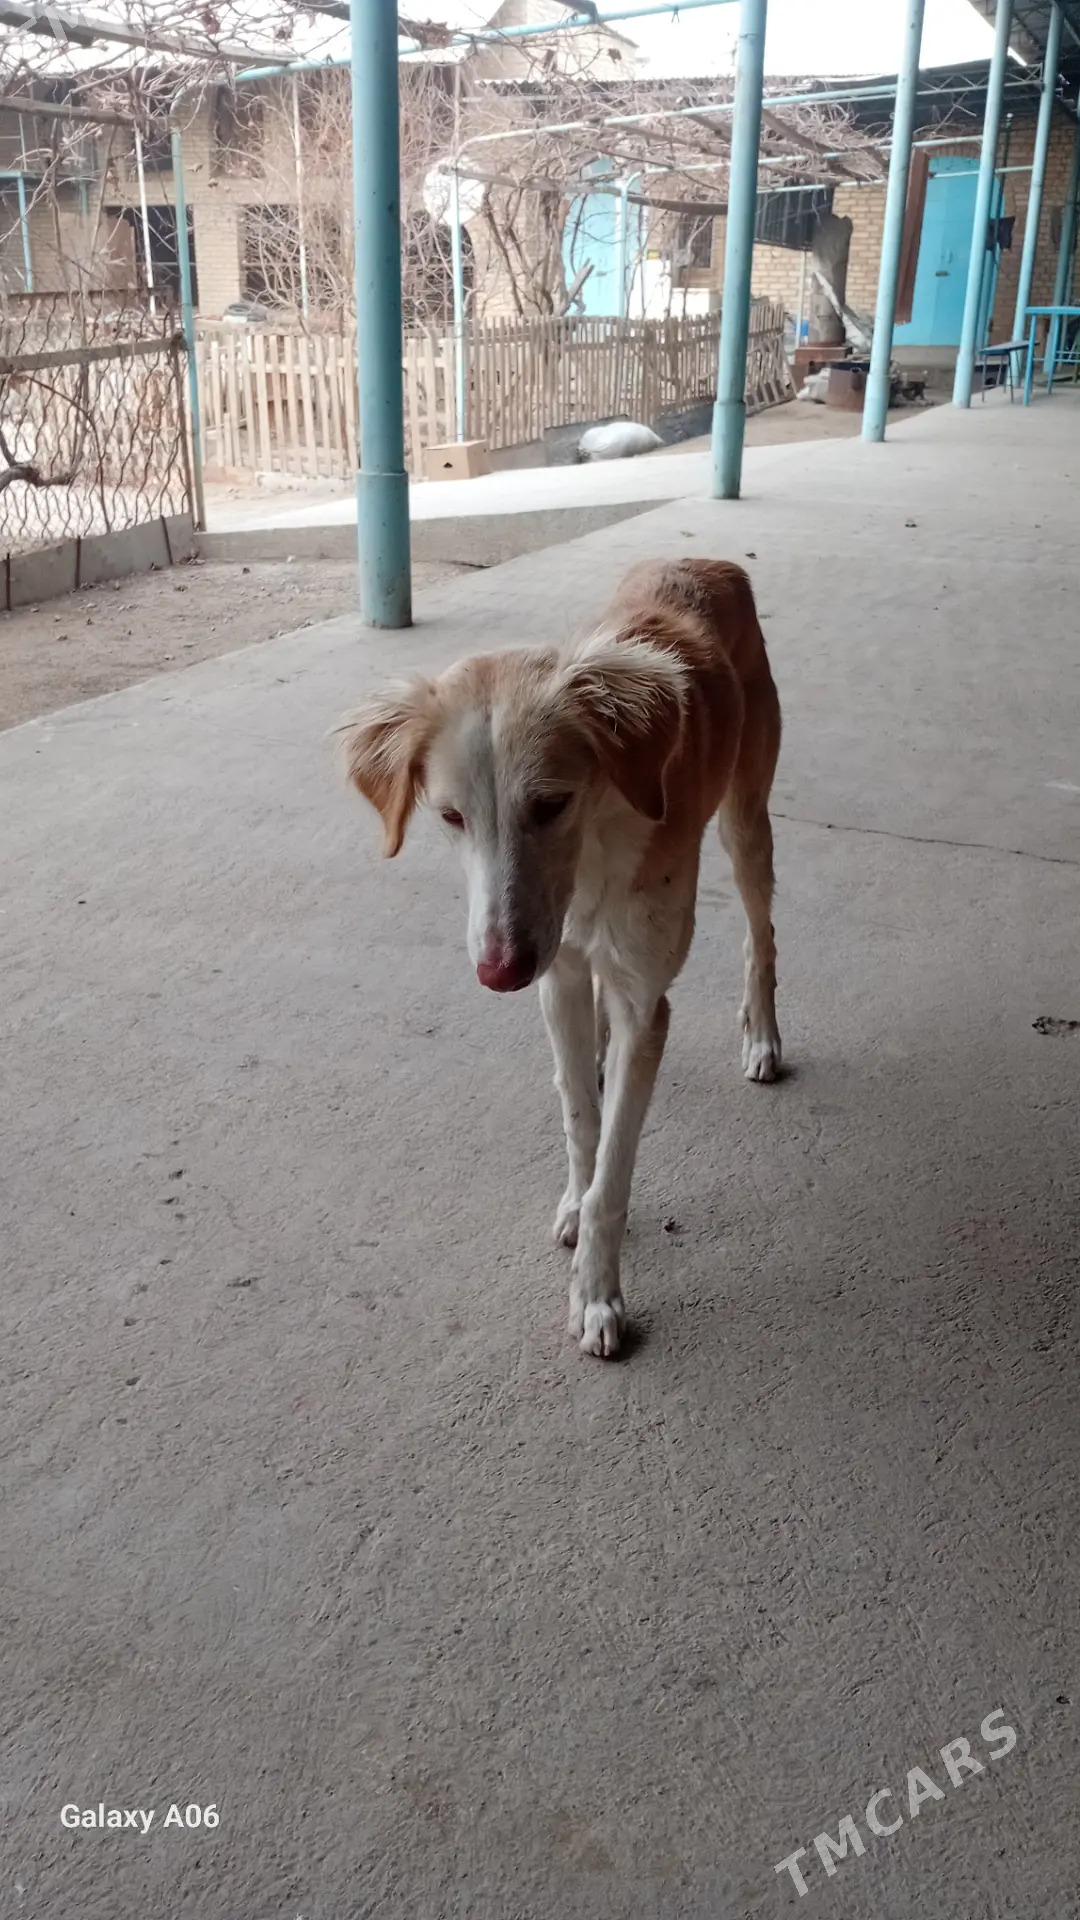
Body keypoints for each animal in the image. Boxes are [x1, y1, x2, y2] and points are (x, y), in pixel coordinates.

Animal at [339, 558, 782, 1359]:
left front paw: (598, 1297)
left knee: (759, 936)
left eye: (550, 803)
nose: (500, 973)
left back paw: (762, 1037)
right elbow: (580, 1117)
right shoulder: (562, 972)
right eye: (450, 816)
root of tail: (707, 562)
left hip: (746, 820)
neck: (594, 851)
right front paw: (577, 1199)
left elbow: (615, 1170)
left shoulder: (643, 998)